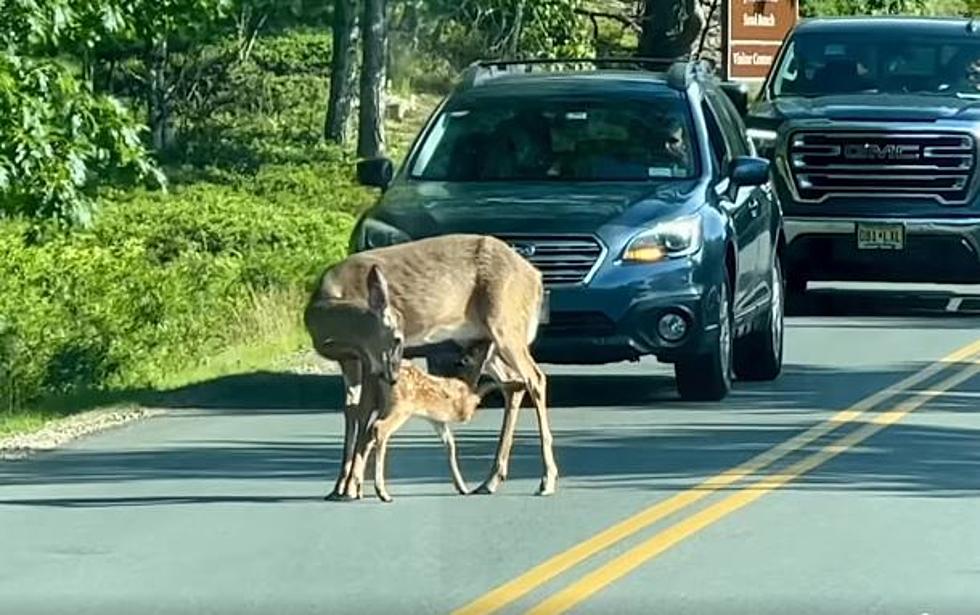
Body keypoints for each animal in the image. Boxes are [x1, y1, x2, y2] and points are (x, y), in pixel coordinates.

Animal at [302, 235, 556, 500]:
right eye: (397, 338)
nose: (394, 376)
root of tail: (536, 277)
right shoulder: (351, 361)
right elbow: (350, 411)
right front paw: (339, 486)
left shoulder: (368, 359)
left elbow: (363, 411)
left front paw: (353, 486)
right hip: (482, 337)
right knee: (512, 384)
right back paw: (490, 481)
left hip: (506, 323)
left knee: (535, 378)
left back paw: (546, 481)